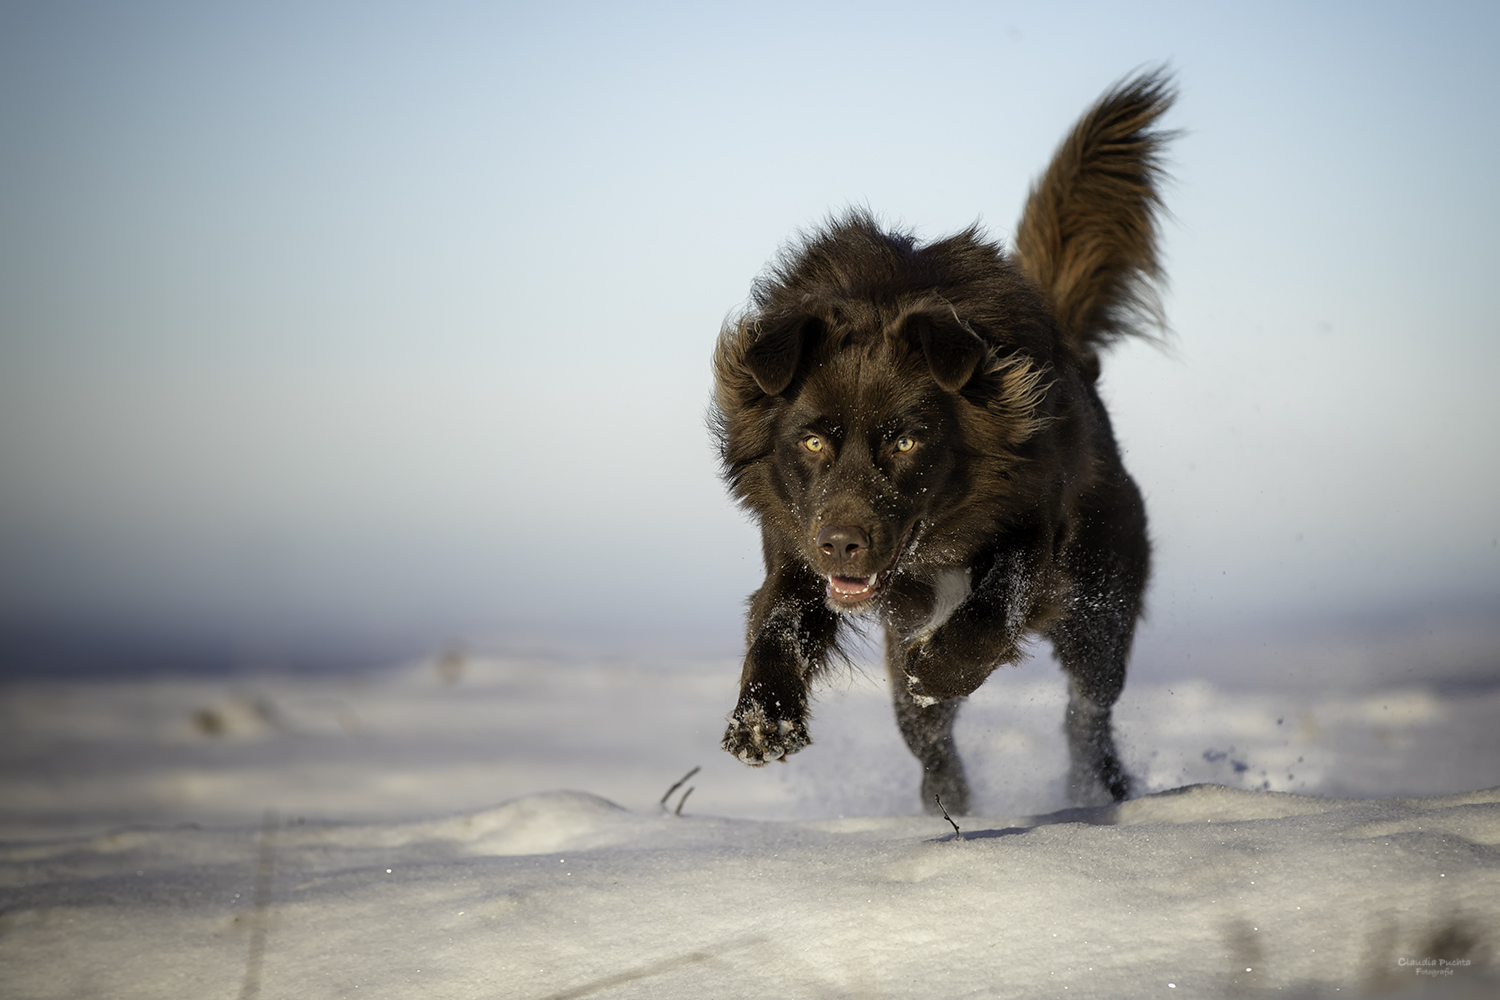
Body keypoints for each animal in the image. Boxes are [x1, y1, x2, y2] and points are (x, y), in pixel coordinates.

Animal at [708, 72, 1176, 815]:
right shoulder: (793, 536)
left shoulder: (1031, 519)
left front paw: (939, 667)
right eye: (810, 442)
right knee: (929, 738)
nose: (843, 544)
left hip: (1099, 601)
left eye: (906, 442)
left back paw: (1094, 790)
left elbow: (995, 605)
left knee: (1088, 709)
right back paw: (948, 801)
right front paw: (762, 720)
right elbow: (778, 616)